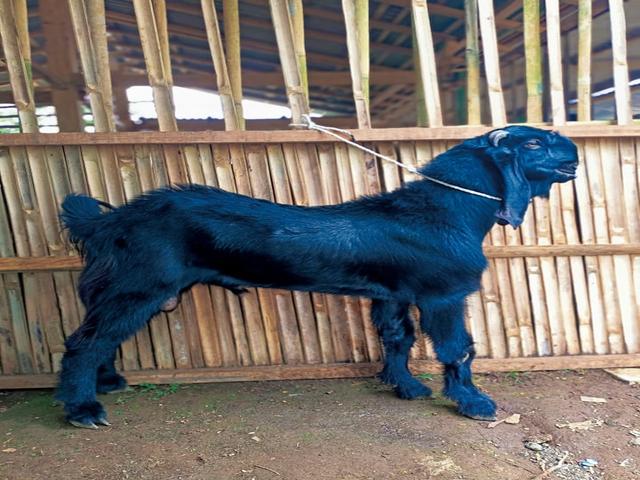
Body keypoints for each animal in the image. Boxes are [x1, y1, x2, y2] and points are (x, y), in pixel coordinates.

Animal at [57, 126, 578, 428]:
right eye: (533, 142)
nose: (573, 151)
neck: (445, 209)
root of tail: (113, 219)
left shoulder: (393, 293)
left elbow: (397, 338)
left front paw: (406, 388)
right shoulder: (443, 294)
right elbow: (457, 349)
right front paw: (474, 404)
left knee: (101, 336)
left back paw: (106, 383)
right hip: (142, 284)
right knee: (86, 341)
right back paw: (83, 409)